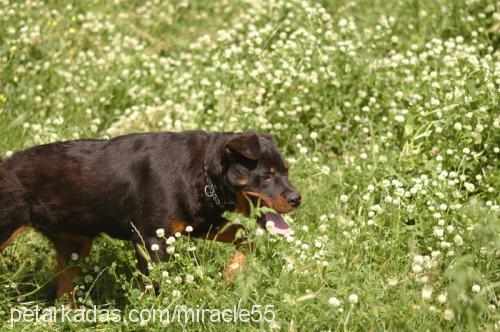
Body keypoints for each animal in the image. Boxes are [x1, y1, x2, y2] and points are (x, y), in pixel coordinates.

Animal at [0, 131, 300, 300]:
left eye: (287, 171)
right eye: (266, 176)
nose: (297, 199)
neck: (204, 174)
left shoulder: (199, 224)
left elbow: (245, 235)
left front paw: (231, 272)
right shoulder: (151, 240)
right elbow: (154, 286)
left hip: (74, 245)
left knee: (65, 296)